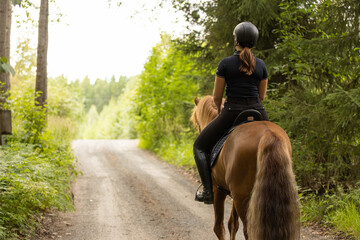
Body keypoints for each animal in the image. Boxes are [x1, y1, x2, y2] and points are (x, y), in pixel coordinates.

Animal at [191, 95, 300, 240]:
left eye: (197, 122)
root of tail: (268, 134)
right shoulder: (232, 193)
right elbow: (233, 224)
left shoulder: (218, 189)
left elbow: (219, 227)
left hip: (242, 198)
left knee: (248, 231)